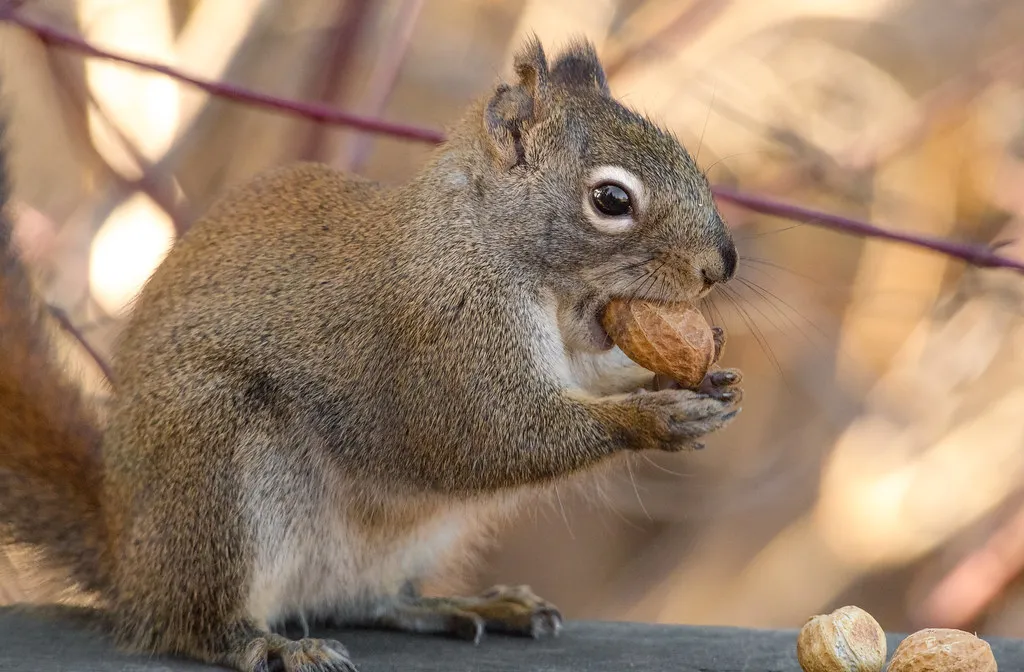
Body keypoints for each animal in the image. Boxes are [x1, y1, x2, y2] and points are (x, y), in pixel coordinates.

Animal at [0, 36, 742, 672]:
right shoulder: (443, 334)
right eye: (611, 199)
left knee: (367, 601)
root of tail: (128, 561)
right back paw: (266, 644)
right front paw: (655, 416)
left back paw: (459, 605)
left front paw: (697, 380)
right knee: (195, 621)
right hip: (213, 459)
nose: (722, 265)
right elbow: (489, 437)